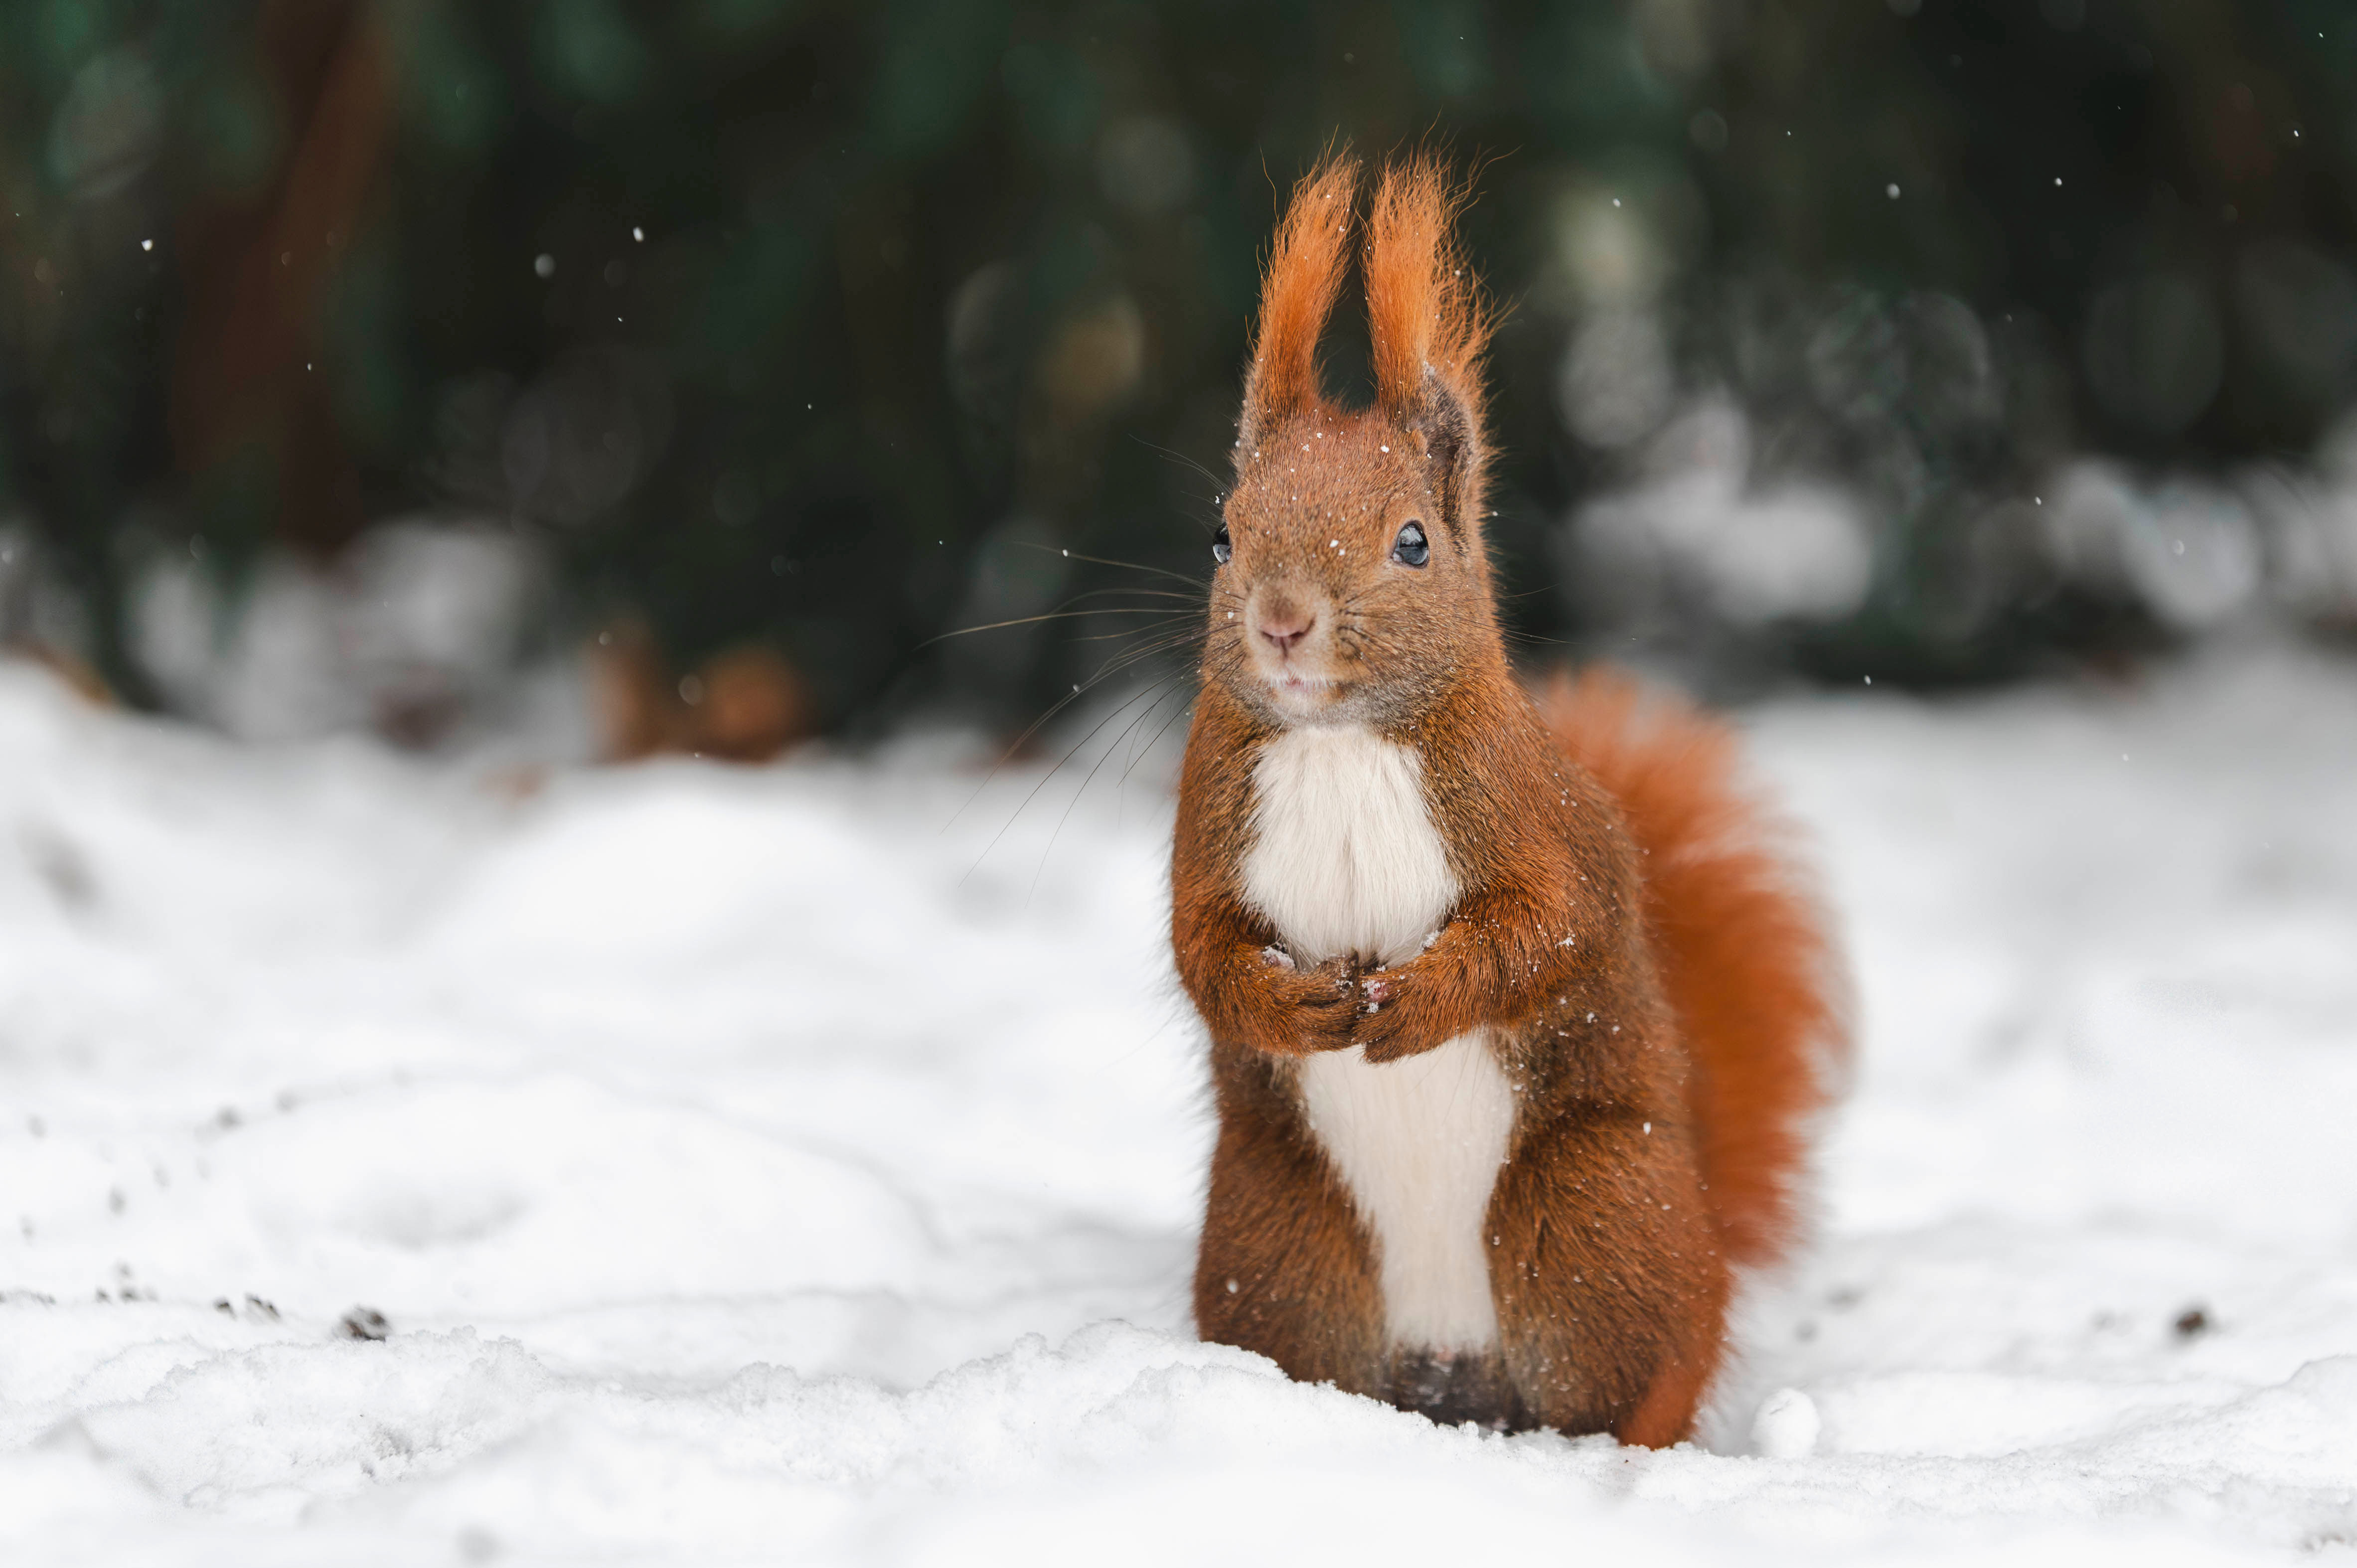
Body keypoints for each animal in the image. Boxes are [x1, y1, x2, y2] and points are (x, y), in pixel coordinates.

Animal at [1171, 153, 1848, 1444]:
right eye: (1220, 533)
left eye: (1413, 542)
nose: (1282, 621)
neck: (1343, 743)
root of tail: (1452, 1364)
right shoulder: (1207, 829)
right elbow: (1204, 951)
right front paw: (1292, 1003)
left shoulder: (1528, 821)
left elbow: (1548, 927)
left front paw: (1418, 999)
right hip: (1280, 1237)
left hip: (1590, 1216)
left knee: (1642, 1376)